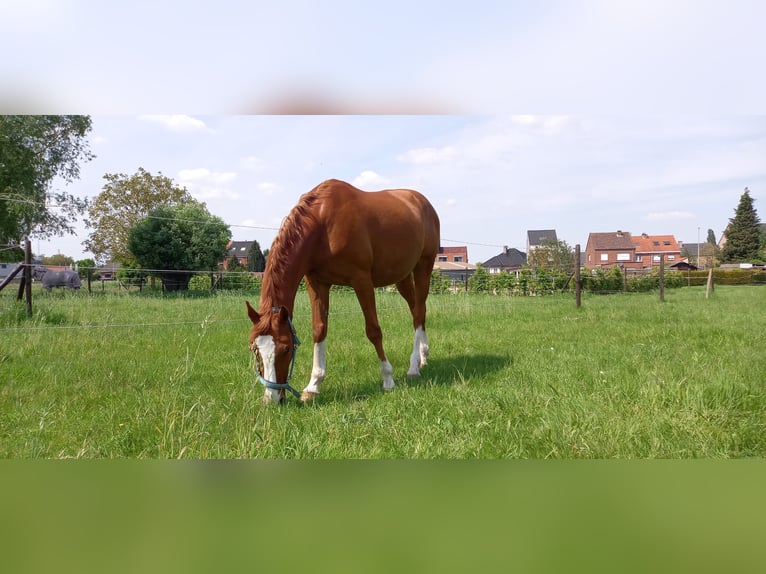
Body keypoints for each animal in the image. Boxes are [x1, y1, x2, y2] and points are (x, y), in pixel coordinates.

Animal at [246, 179, 438, 404]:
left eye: (285, 348)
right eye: (254, 349)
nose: (272, 398)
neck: (323, 225)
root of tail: (423, 202)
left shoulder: (361, 280)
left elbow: (373, 331)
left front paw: (388, 379)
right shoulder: (317, 283)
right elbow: (319, 330)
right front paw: (313, 385)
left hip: (423, 266)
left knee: (418, 312)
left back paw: (413, 366)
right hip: (403, 276)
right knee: (417, 311)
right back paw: (423, 356)